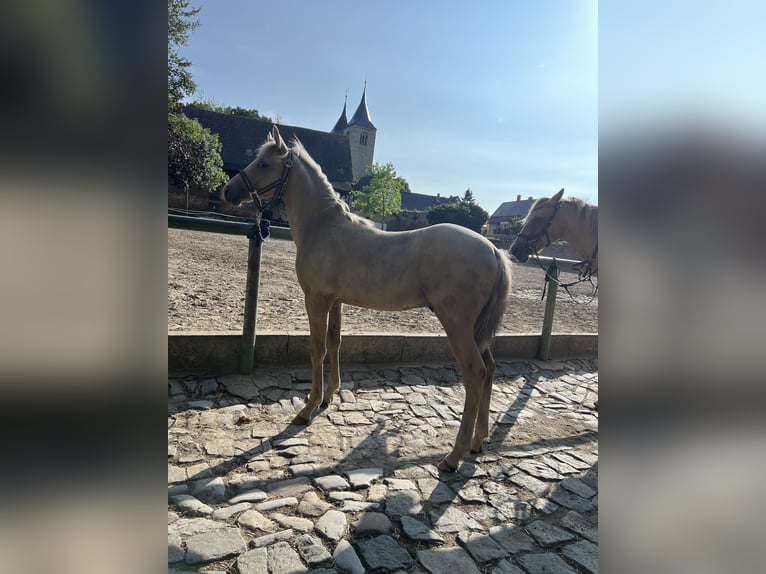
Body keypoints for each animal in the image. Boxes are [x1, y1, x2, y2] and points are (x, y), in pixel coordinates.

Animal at [222, 126, 510, 472]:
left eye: (264, 164)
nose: (227, 191)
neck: (324, 227)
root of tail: (493, 249)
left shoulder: (316, 300)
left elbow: (317, 349)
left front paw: (307, 408)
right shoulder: (335, 301)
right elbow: (334, 343)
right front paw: (329, 396)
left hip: (457, 326)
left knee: (475, 373)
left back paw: (454, 455)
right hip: (477, 330)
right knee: (490, 369)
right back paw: (479, 440)